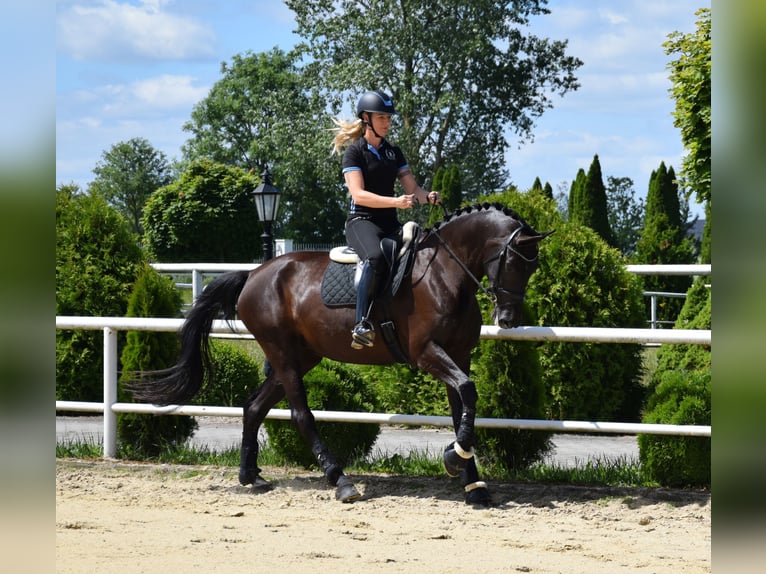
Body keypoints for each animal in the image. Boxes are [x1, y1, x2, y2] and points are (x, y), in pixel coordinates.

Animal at [130, 204, 552, 508]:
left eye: (532, 268)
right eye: (514, 261)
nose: (508, 319)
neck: (445, 274)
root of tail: (254, 273)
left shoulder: (458, 356)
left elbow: (463, 403)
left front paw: (472, 482)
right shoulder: (428, 354)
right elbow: (467, 392)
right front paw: (455, 459)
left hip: (301, 357)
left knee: (254, 407)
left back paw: (251, 476)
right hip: (283, 355)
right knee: (300, 415)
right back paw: (340, 480)